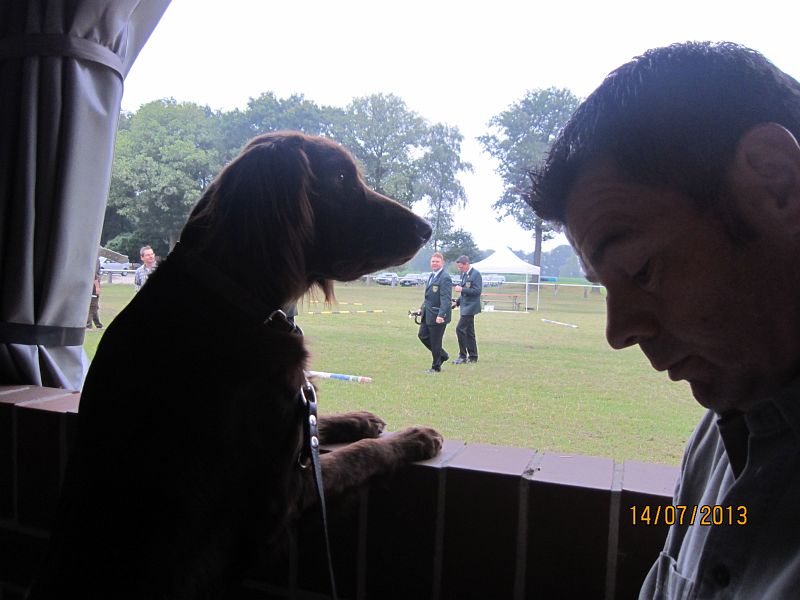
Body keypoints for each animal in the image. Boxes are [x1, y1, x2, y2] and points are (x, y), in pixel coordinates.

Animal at [31, 132, 442, 599]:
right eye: (340, 178)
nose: (426, 229)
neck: (236, 301)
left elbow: (317, 423)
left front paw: (359, 418)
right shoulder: (284, 494)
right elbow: (360, 454)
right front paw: (414, 437)